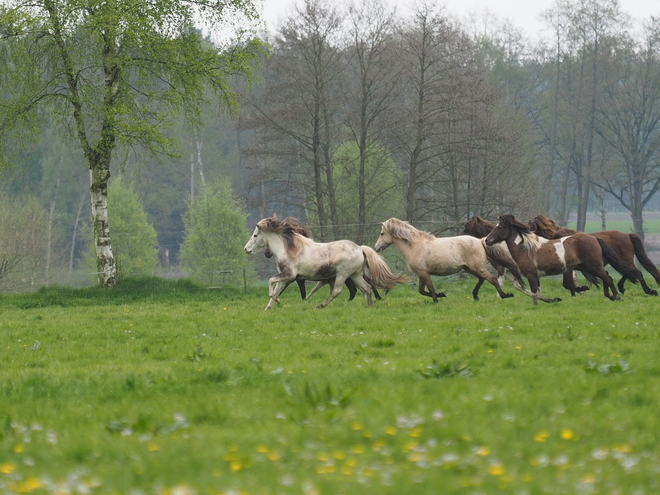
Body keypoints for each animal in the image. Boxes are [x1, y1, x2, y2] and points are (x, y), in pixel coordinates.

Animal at [242, 216, 408, 310]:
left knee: (338, 291)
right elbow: (277, 289)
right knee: (366, 288)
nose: (246, 249)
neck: (289, 249)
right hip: (355, 275)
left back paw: (320, 305)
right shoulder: (285, 277)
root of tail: (360, 248)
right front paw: (268, 307)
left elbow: (271, 282)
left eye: (255, 235)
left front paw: (276, 300)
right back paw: (369, 306)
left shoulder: (289, 275)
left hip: (342, 274)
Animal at [372, 218, 520, 302]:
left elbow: (430, 288)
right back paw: (475, 296)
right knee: (482, 279)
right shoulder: (421, 273)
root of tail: (480, 240)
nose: (376, 248)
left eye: (382, 233)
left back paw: (505, 295)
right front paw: (441, 295)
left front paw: (437, 299)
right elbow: (421, 290)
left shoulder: (424, 273)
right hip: (470, 268)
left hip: (477, 267)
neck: (415, 246)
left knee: (493, 279)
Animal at [484, 214, 640, 304]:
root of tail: (594, 238)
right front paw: (552, 300)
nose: (487, 240)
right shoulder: (536, 277)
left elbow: (535, 294)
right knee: (606, 277)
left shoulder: (531, 276)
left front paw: (549, 301)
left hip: (593, 266)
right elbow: (537, 293)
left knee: (608, 278)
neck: (526, 249)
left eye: (500, 227)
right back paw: (610, 296)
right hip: (587, 267)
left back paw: (616, 297)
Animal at [528, 215, 656, 296]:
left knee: (635, 272)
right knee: (629, 272)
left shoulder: (568, 267)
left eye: (533, 227)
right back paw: (623, 287)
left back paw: (648, 291)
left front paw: (581, 289)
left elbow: (567, 284)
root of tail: (628, 235)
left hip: (625, 260)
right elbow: (567, 284)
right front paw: (578, 291)